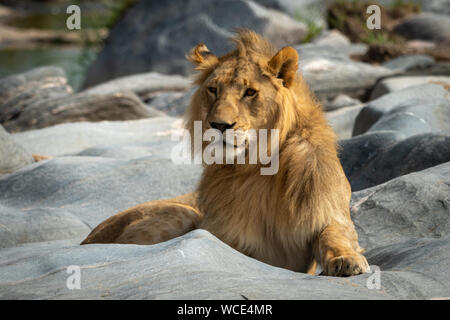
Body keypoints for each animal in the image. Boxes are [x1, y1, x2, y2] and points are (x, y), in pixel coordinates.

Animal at [81, 30, 370, 276]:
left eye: (250, 92)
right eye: (213, 90)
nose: (219, 125)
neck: (257, 165)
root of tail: (86, 240)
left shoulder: (329, 211)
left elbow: (336, 234)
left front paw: (346, 259)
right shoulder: (224, 233)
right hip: (182, 213)